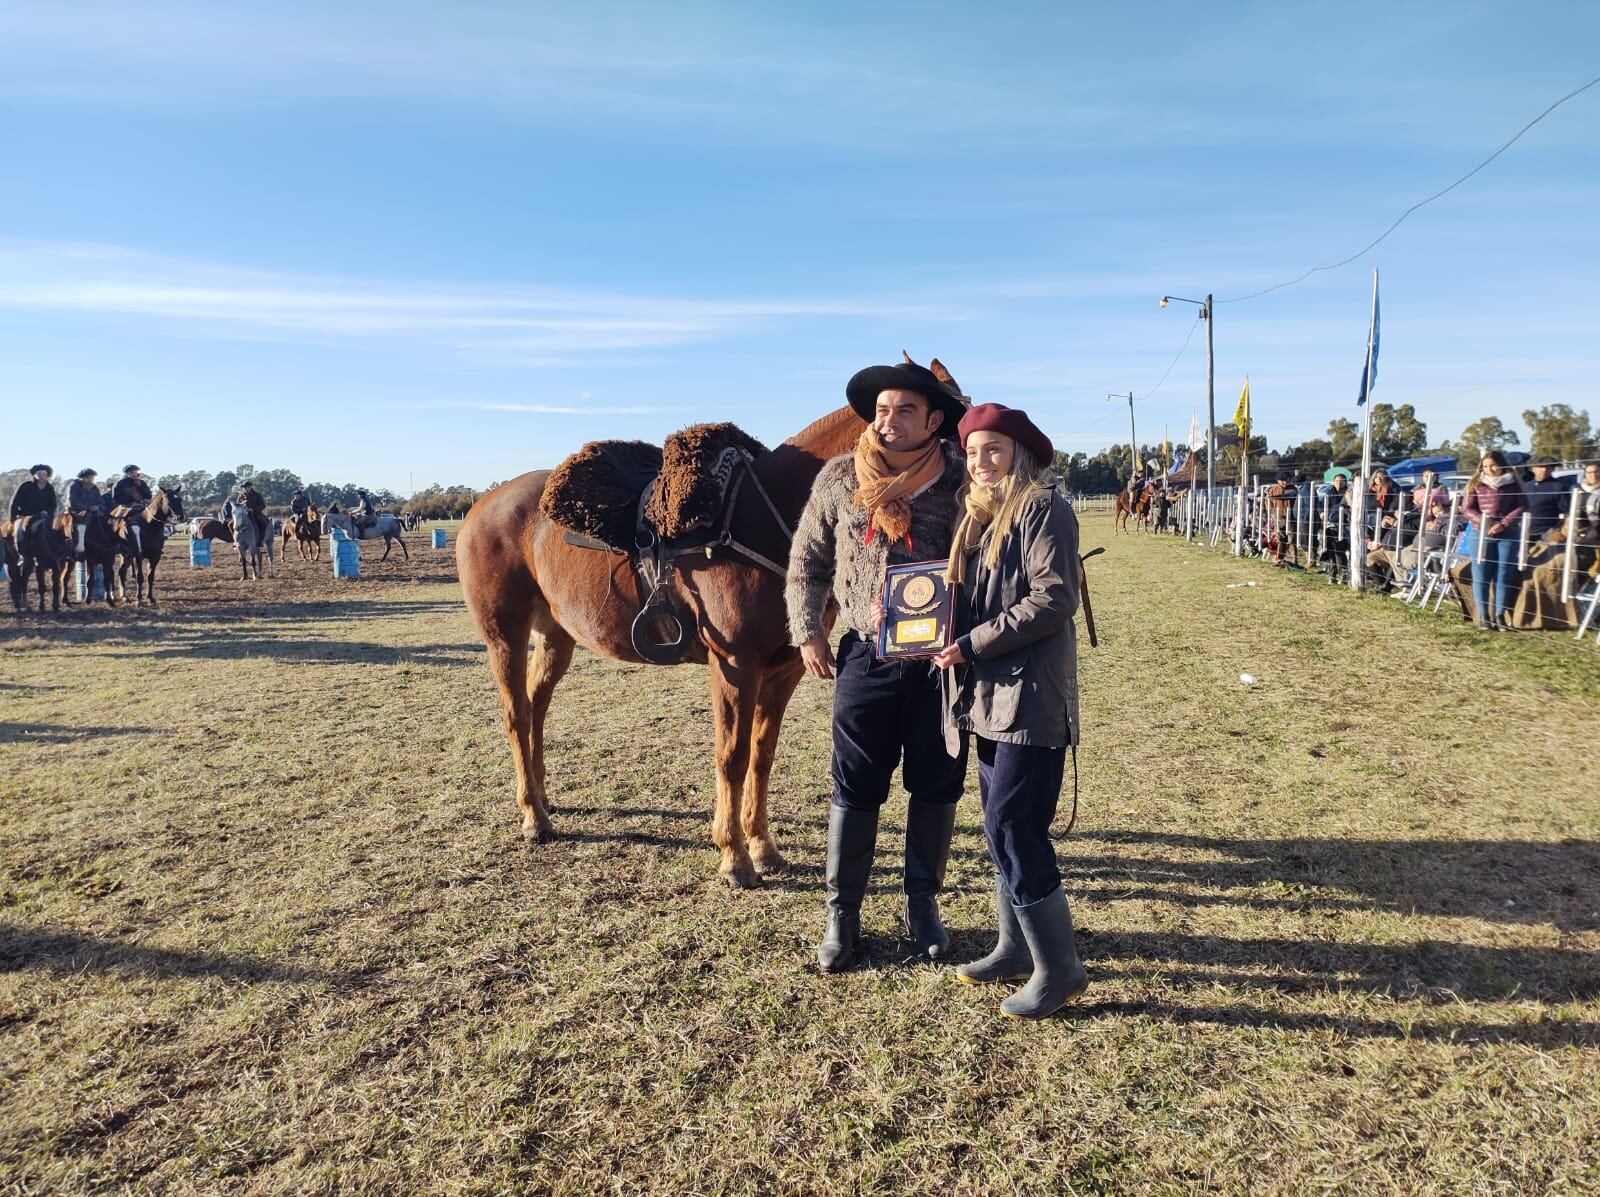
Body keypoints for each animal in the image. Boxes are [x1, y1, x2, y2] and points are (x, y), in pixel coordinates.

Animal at [457, 406, 870, 883]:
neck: (763, 516)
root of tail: (481, 506)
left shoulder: (785, 671)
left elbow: (761, 756)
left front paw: (763, 848)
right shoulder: (735, 666)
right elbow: (732, 757)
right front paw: (734, 856)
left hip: (556, 637)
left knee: (535, 710)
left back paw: (542, 799)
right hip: (504, 637)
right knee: (516, 716)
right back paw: (533, 817)